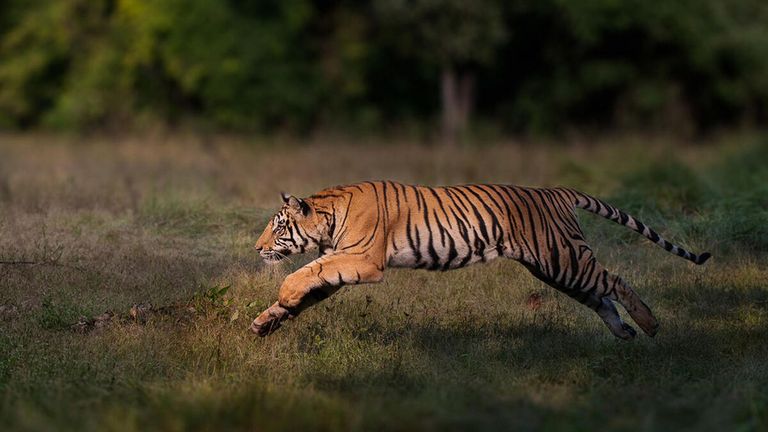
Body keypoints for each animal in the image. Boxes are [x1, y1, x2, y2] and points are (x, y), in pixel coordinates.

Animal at [249, 181, 712, 340]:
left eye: (278, 227)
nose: (255, 248)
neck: (328, 218)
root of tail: (557, 191)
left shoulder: (363, 261)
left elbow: (306, 273)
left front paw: (283, 296)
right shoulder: (342, 263)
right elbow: (309, 284)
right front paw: (267, 321)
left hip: (564, 259)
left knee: (616, 282)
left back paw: (649, 325)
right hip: (557, 270)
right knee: (600, 297)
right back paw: (624, 333)